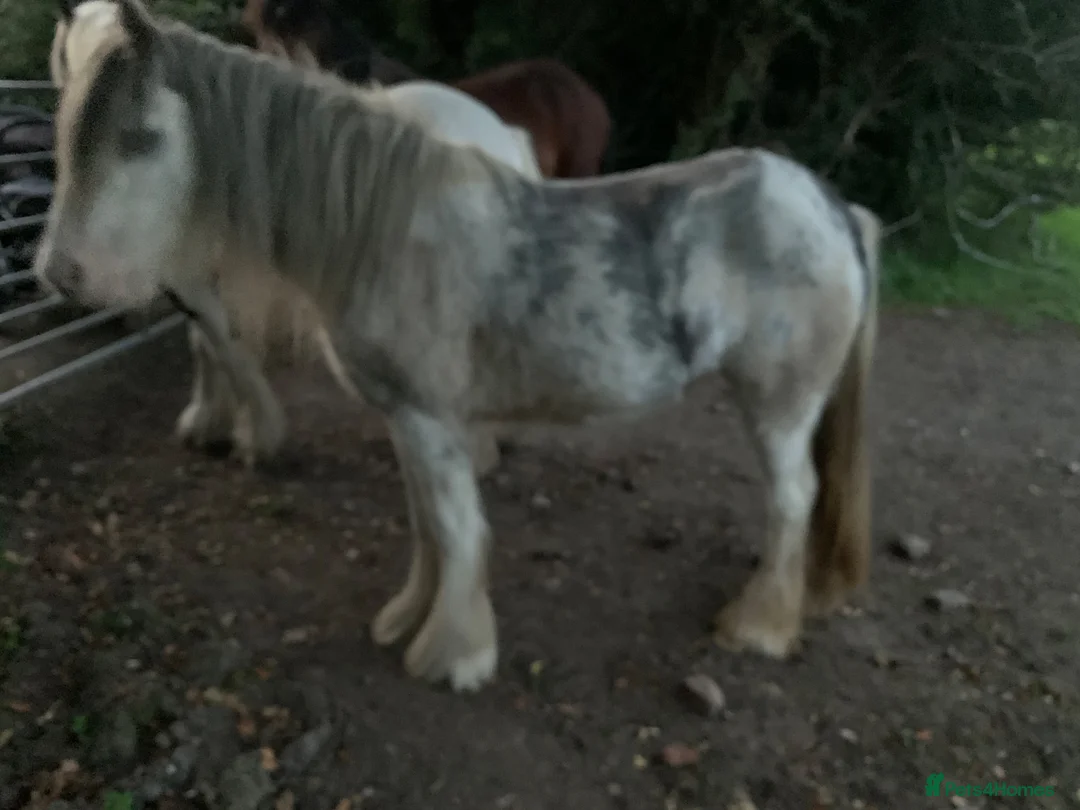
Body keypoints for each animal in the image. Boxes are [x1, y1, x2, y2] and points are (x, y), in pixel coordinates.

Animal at [51, 0, 543, 475]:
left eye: (139, 136)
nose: (60, 272)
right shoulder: (193, 278)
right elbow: (206, 343)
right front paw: (209, 420)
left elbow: (227, 347)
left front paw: (255, 437)